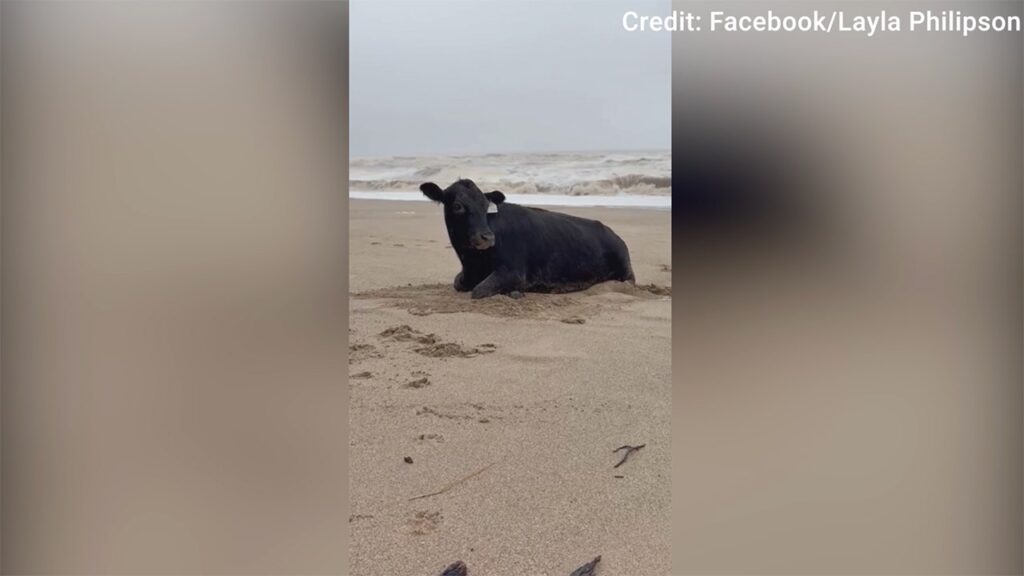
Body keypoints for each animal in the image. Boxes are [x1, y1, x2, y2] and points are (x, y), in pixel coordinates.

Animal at [419, 179, 635, 299]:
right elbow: (459, 283)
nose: (487, 237)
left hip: (625, 272)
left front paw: (515, 292)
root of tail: (613, 233)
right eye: (457, 206)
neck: (471, 262)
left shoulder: (513, 272)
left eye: (485, 205)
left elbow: (478, 290)